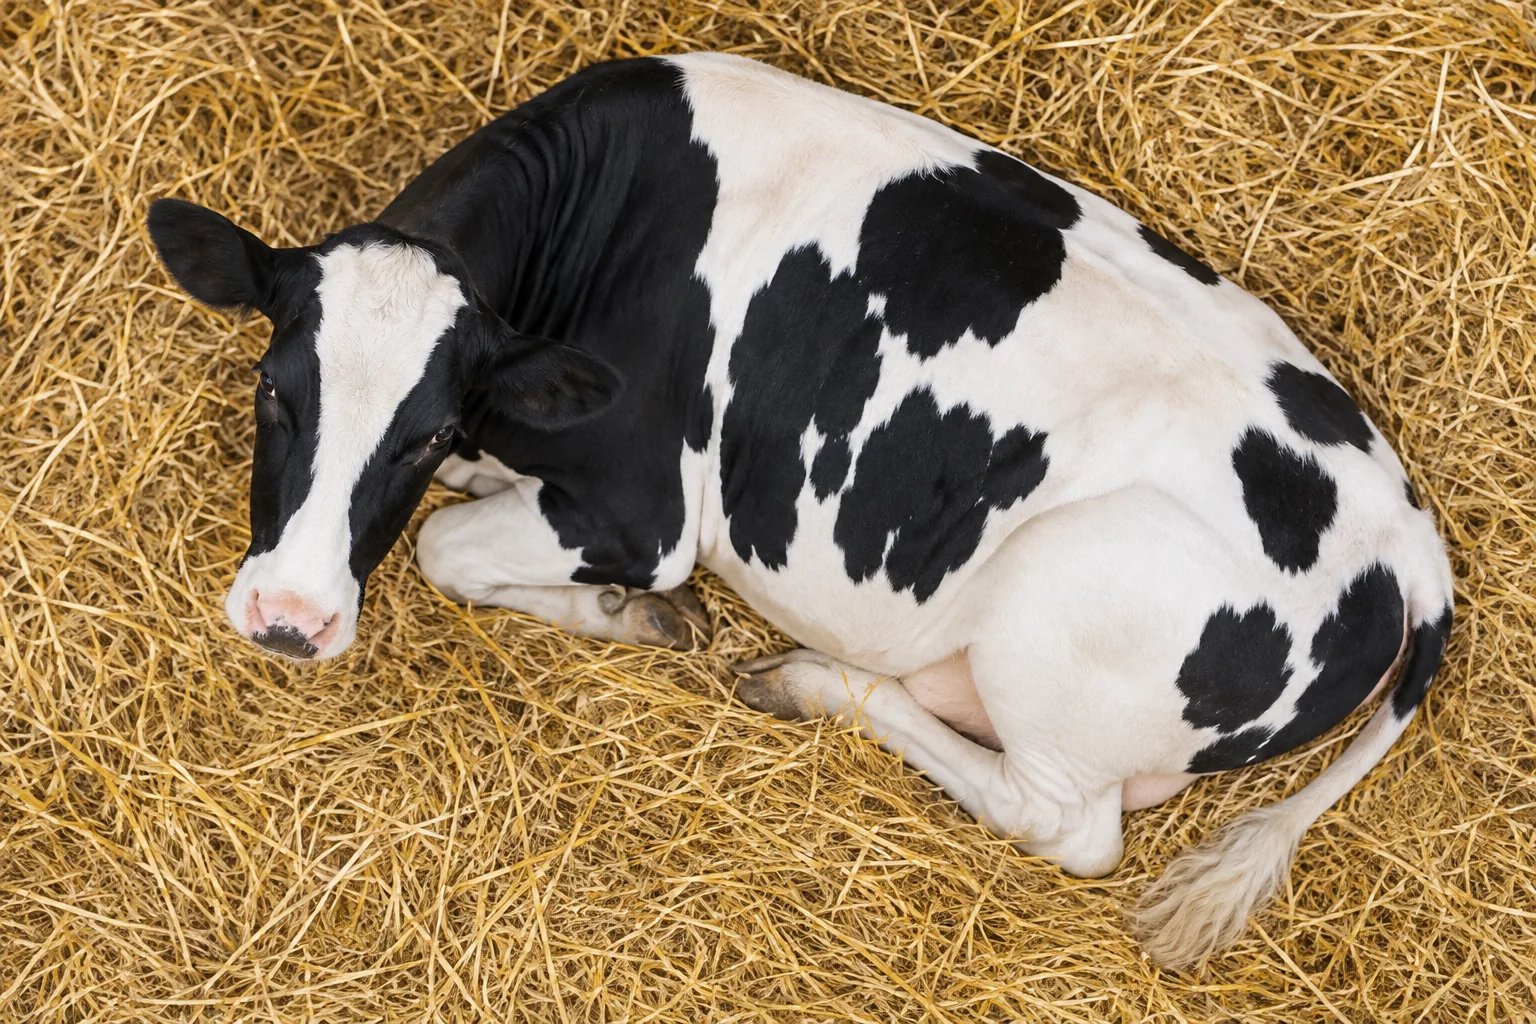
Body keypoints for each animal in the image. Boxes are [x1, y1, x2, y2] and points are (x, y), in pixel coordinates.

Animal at [147, 53, 1454, 968]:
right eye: (274, 387)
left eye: (422, 428)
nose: (289, 616)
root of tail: (1406, 543)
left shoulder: (642, 509)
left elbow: (445, 550)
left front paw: (630, 614)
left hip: (1058, 617)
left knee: (1064, 824)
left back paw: (807, 679)